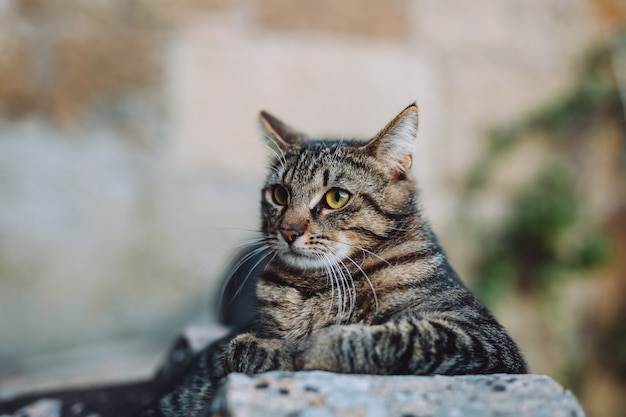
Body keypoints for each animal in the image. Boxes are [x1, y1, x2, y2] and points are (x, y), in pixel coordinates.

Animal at [138, 101, 528, 416]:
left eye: (336, 197)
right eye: (279, 194)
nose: (288, 231)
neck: (309, 288)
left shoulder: (479, 335)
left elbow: (396, 338)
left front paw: (312, 347)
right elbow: (237, 349)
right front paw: (271, 350)